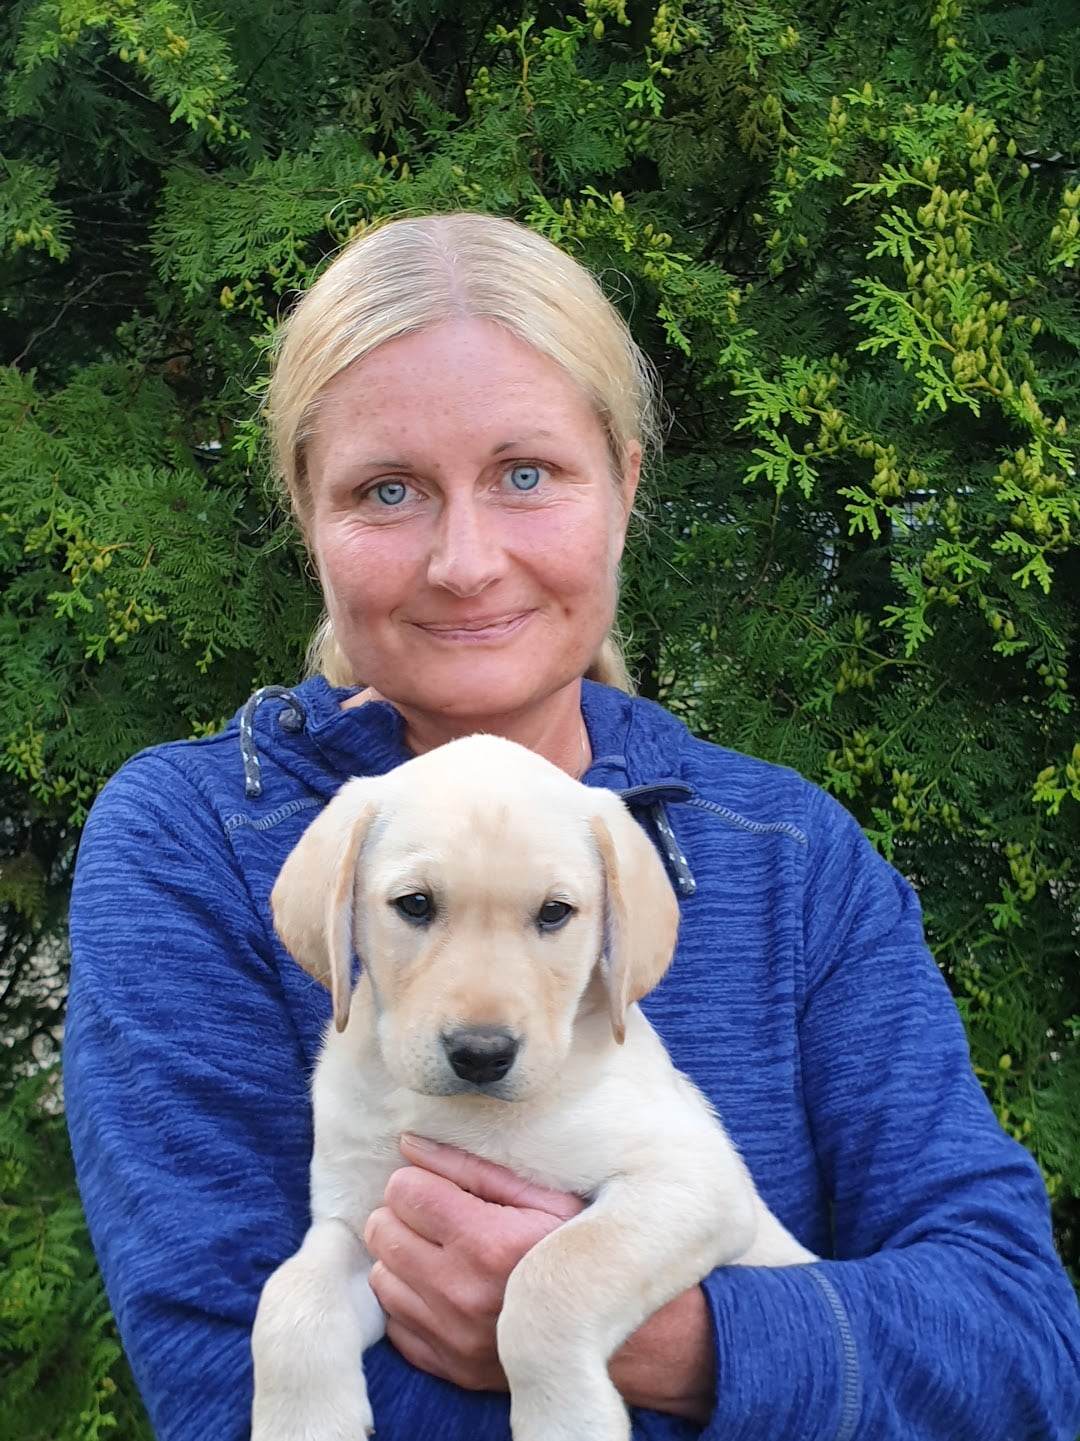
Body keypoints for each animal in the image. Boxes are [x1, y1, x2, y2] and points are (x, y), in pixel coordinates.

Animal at [251, 734, 815, 1441]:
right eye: (414, 904)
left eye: (554, 913)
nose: (481, 1055)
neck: (468, 1115)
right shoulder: (358, 1221)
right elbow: (289, 1298)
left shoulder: (693, 1184)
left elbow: (549, 1276)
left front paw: (566, 1418)